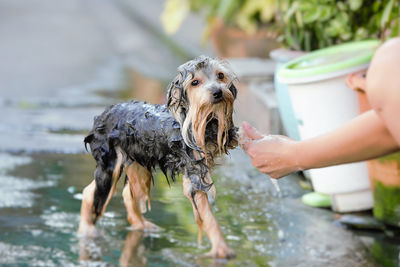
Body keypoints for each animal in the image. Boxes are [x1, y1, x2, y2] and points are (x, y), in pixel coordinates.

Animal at [79, 55, 239, 258]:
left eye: (220, 76)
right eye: (195, 82)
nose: (218, 92)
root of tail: (106, 112)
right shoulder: (194, 175)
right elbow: (208, 217)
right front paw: (221, 248)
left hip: (137, 161)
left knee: (128, 194)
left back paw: (141, 225)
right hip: (110, 163)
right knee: (90, 192)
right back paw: (87, 230)